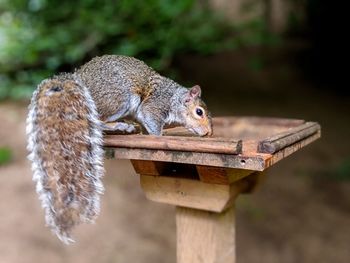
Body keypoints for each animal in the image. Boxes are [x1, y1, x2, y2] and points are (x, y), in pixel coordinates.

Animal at [26, 55, 212, 245]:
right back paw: (120, 126)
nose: (208, 133)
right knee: (99, 121)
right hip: (120, 98)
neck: (173, 98)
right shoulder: (154, 106)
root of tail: (77, 80)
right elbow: (152, 122)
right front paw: (159, 136)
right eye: (199, 112)